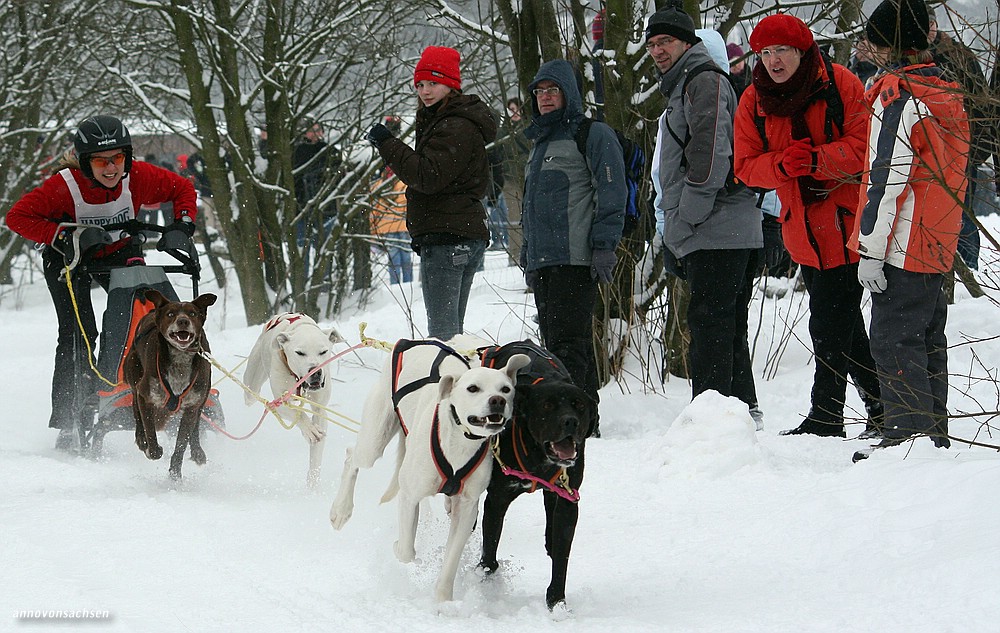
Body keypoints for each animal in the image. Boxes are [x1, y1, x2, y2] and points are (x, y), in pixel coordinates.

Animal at [124, 288, 218, 476]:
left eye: (192, 313)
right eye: (170, 314)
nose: (183, 321)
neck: (180, 360)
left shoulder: (192, 407)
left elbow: (181, 444)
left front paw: (175, 474)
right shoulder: (146, 396)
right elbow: (149, 430)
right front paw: (152, 449)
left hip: (202, 399)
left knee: (196, 426)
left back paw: (197, 452)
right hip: (135, 382)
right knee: (136, 413)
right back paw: (141, 439)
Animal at [244, 314, 346, 486]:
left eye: (323, 351)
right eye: (300, 352)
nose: (315, 371)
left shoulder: (320, 408)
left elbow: (317, 449)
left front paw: (313, 482)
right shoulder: (278, 404)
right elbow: (297, 414)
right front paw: (309, 429)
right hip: (251, 385)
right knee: (251, 395)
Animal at [330, 340, 532, 604]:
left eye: (506, 389)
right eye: (473, 388)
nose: (498, 400)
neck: (458, 442)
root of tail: (414, 342)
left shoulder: (467, 507)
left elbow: (450, 562)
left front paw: (443, 602)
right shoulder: (409, 497)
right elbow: (406, 551)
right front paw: (400, 551)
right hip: (374, 441)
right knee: (351, 455)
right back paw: (340, 510)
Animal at [476, 338, 592, 608]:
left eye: (579, 406)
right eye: (547, 405)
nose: (570, 421)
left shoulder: (569, 500)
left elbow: (562, 553)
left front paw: (556, 600)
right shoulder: (497, 498)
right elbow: (490, 550)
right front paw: (486, 586)